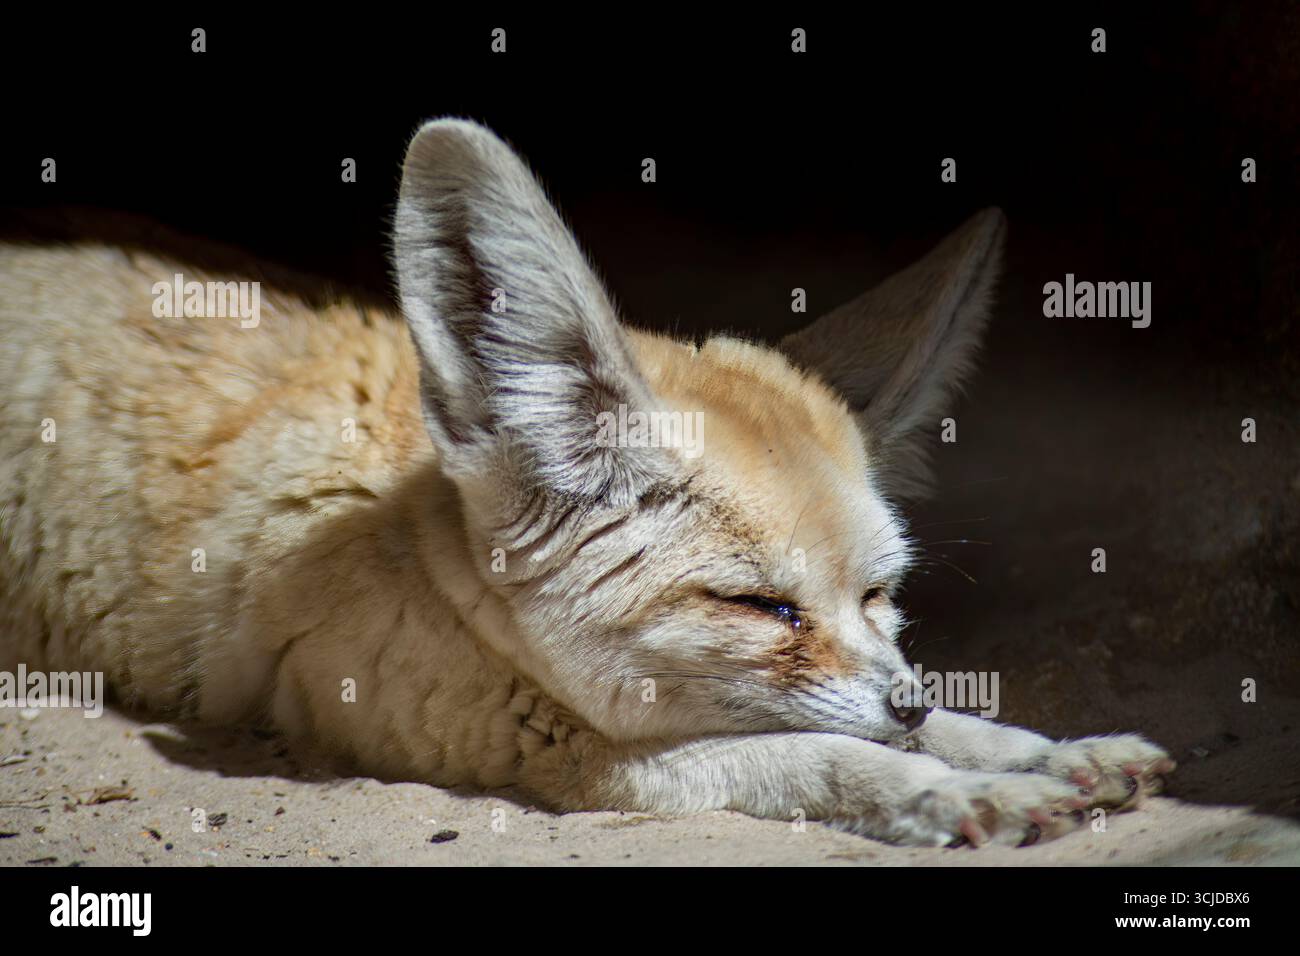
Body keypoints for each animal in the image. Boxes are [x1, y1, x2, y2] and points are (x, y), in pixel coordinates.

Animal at [0, 119, 1173, 847]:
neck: (434, 561)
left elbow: (888, 730)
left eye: (877, 593)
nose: (910, 695)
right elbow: (812, 754)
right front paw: (956, 789)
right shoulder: (571, 760)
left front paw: (1050, 751)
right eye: (760, 605)